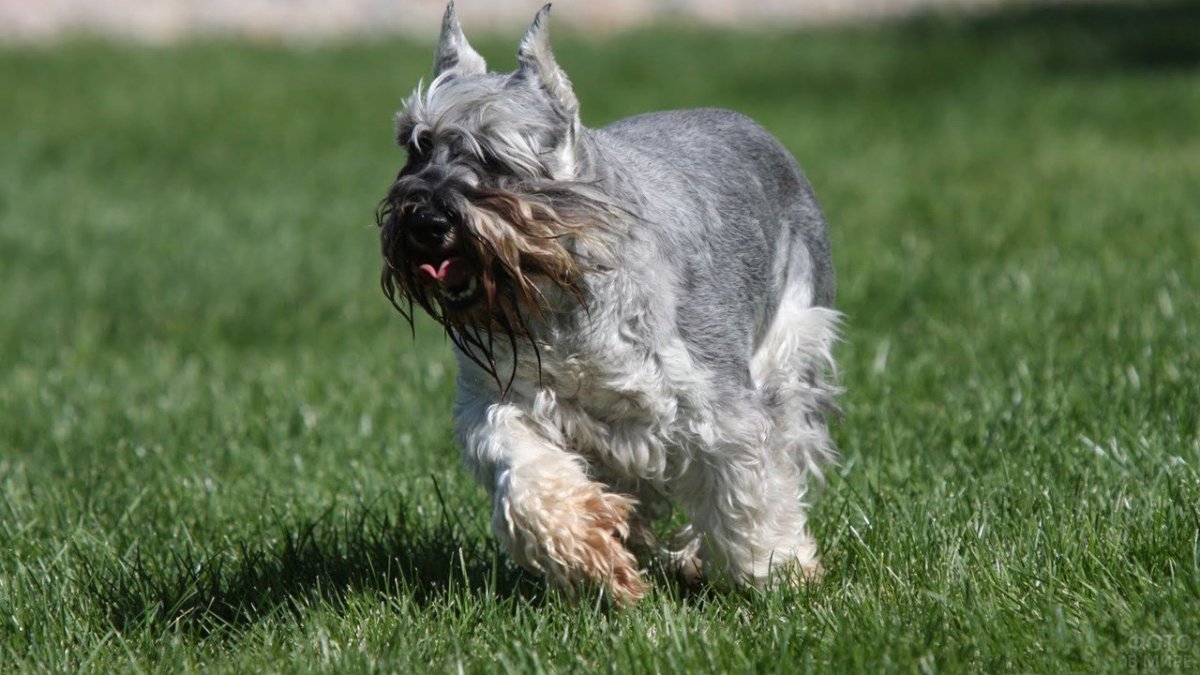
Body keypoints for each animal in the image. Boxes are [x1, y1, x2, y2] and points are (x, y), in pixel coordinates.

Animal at [378, 2, 840, 605]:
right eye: (416, 145)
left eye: (495, 154)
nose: (426, 223)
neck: (561, 294)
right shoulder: (500, 404)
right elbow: (527, 482)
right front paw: (587, 553)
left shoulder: (720, 409)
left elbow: (749, 491)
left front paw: (779, 571)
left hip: (788, 352)